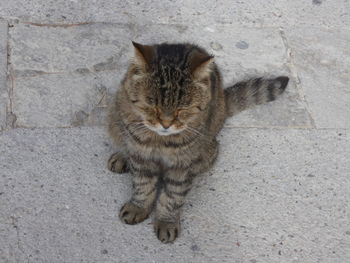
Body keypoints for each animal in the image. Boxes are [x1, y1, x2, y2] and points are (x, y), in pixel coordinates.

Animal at [108, 42, 288, 243]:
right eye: (151, 104)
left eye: (182, 108)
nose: (166, 124)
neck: (161, 141)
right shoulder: (141, 156)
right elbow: (143, 185)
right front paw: (138, 207)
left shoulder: (183, 165)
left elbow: (173, 196)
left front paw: (166, 221)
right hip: (115, 115)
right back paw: (122, 156)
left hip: (209, 151)